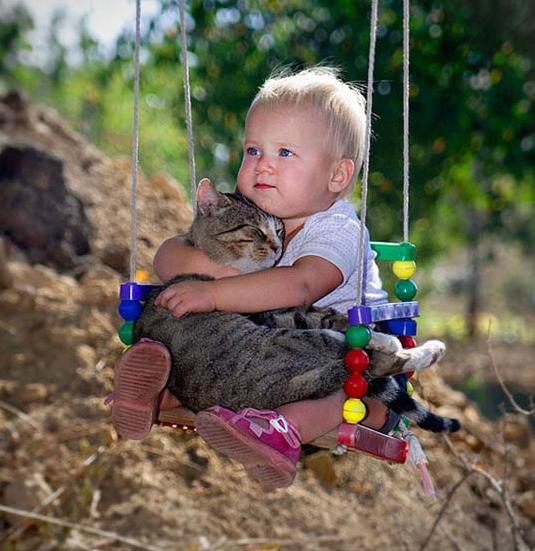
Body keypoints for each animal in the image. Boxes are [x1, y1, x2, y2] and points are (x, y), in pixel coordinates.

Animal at [135, 181, 460, 436]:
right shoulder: (275, 314)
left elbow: (328, 315)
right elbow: (329, 321)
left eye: (279, 229)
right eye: (254, 229)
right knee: (366, 359)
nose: (278, 246)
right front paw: (380, 337)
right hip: (286, 343)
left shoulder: (283, 310)